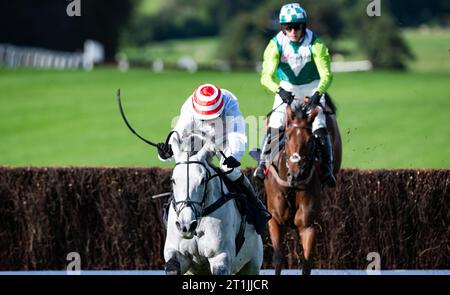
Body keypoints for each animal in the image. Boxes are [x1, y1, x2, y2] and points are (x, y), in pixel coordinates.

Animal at [264, 96, 342, 276]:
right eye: (286, 137)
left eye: (311, 139)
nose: (296, 174)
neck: (292, 185)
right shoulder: (275, 219)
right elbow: (278, 259)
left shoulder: (307, 225)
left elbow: (307, 263)